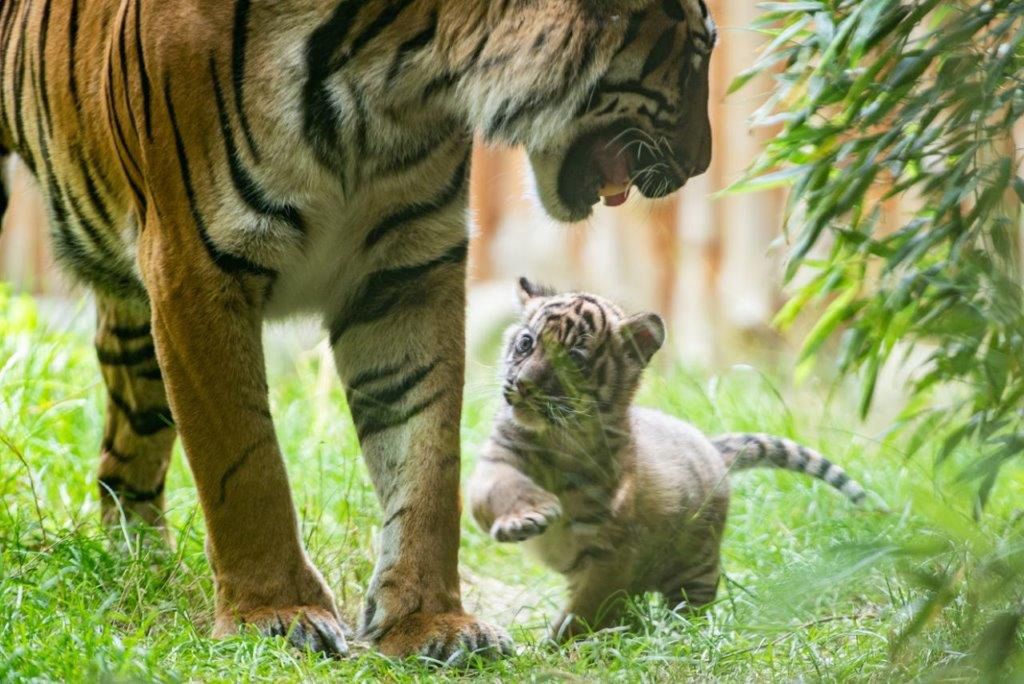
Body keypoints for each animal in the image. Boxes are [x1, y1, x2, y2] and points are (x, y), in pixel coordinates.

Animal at [0, 0, 716, 663]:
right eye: (701, 51)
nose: (701, 165)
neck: (395, 73)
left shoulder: (407, 272)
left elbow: (427, 459)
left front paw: (430, 623)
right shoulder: (195, 267)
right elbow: (244, 464)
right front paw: (274, 614)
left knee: (126, 455)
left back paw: (143, 570)